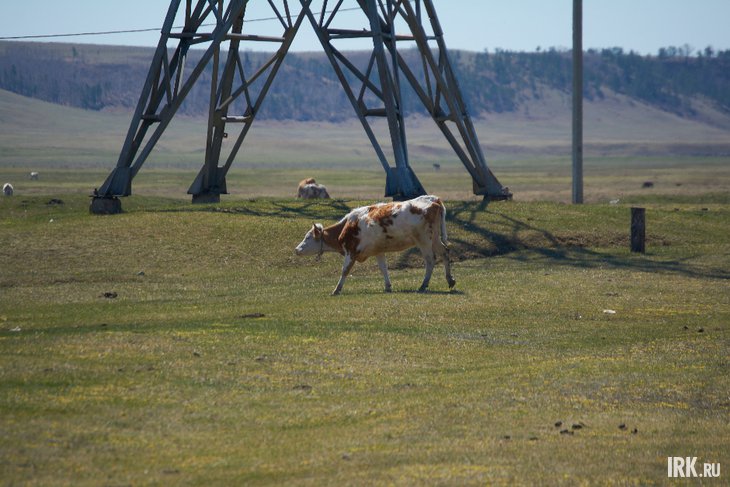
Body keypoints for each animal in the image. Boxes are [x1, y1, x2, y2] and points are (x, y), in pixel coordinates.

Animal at [295, 195, 456, 295]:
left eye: (307, 237)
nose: (296, 249)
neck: (348, 225)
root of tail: (434, 199)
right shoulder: (379, 251)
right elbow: (383, 268)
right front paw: (388, 287)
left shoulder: (351, 251)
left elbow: (345, 270)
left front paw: (336, 290)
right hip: (434, 239)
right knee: (445, 251)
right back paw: (450, 280)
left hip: (424, 240)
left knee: (430, 260)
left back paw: (423, 285)